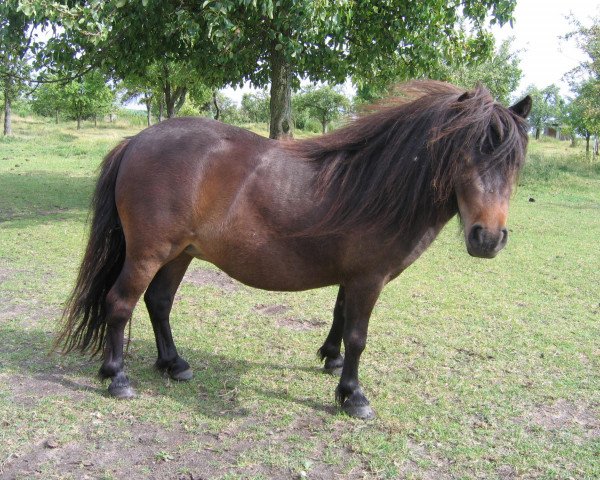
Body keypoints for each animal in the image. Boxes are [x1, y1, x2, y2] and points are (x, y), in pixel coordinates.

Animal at [58, 80, 532, 418]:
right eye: (465, 154)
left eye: (514, 162)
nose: (487, 238)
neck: (377, 184)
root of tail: (137, 141)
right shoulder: (369, 278)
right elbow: (359, 336)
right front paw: (353, 395)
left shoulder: (352, 276)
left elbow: (340, 318)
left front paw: (331, 360)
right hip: (148, 253)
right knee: (120, 303)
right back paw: (118, 378)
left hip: (180, 254)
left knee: (158, 302)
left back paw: (174, 364)